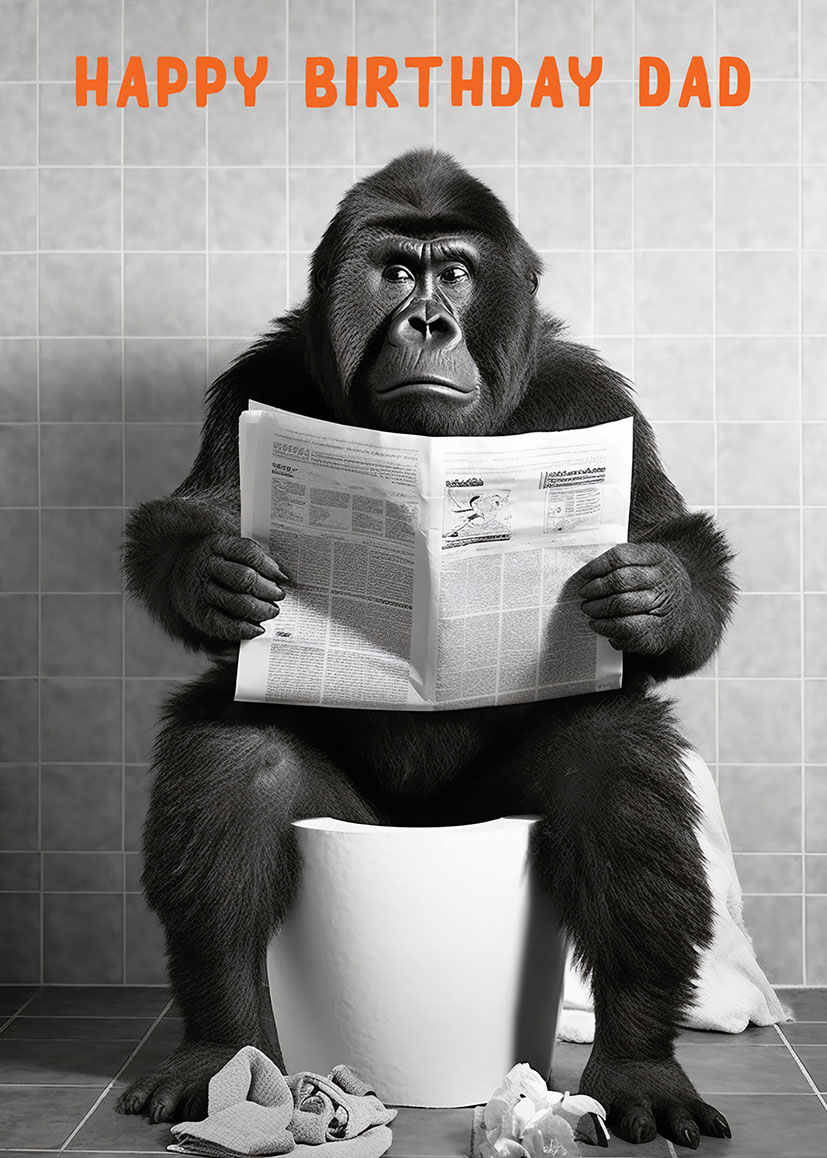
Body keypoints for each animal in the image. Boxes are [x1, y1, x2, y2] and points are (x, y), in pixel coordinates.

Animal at [119, 150, 736, 1149]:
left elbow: (672, 548)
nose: (428, 320)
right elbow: (189, 523)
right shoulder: (254, 382)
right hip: (361, 826)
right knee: (234, 759)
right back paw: (219, 1051)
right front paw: (213, 574)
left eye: (453, 272)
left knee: (613, 757)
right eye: (396, 272)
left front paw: (655, 593)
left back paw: (639, 1062)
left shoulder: (591, 398)